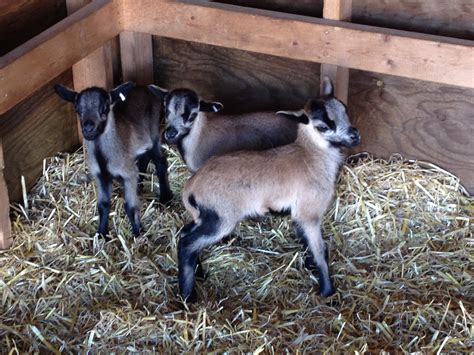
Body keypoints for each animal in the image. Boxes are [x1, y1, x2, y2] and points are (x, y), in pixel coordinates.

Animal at [54, 82, 172, 239]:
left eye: (104, 109)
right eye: (77, 110)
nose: (88, 128)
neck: (104, 159)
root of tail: (145, 87)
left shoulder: (128, 175)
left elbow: (130, 206)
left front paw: (138, 234)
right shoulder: (100, 176)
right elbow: (103, 205)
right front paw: (101, 234)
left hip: (154, 132)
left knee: (160, 161)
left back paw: (165, 198)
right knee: (145, 157)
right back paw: (140, 184)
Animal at [177, 77, 360, 300]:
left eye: (344, 110)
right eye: (323, 126)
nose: (354, 136)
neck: (310, 156)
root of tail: (191, 187)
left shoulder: (298, 214)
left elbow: (306, 242)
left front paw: (310, 268)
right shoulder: (309, 213)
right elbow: (320, 252)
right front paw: (327, 291)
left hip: (204, 216)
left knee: (184, 234)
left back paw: (199, 274)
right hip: (220, 218)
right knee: (187, 244)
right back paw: (188, 296)